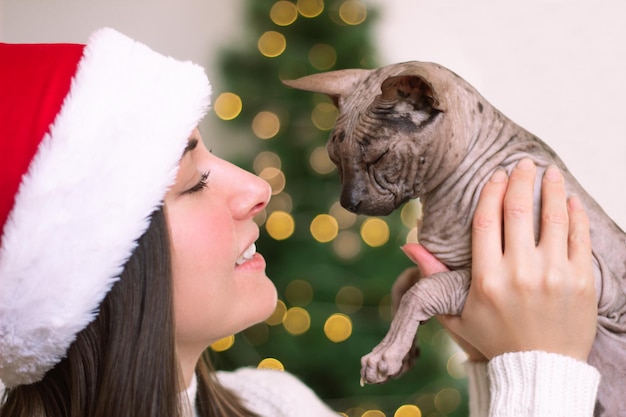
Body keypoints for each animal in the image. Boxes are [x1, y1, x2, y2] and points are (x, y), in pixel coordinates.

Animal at [284, 62, 624, 416]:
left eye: (379, 157)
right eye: (334, 159)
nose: (348, 203)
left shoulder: (594, 282)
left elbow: (422, 288)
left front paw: (384, 356)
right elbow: (403, 282)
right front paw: (404, 352)